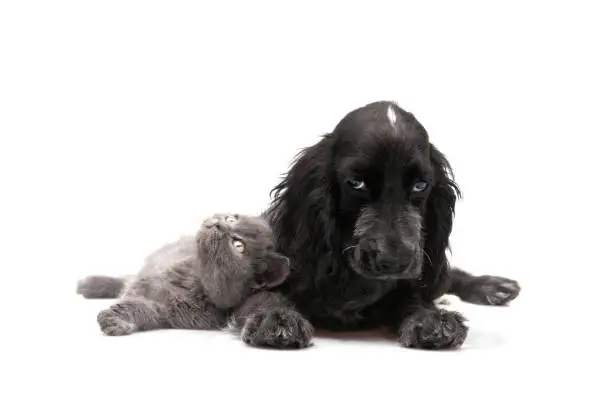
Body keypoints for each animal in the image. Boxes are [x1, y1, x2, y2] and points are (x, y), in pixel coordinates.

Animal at [76, 214, 292, 334]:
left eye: (238, 245)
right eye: (231, 219)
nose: (219, 223)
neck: (194, 277)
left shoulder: (164, 310)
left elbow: (137, 308)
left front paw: (114, 321)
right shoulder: (149, 283)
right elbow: (129, 295)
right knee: (125, 279)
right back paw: (88, 285)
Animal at [232, 100, 520, 350]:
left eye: (420, 185)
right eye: (356, 183)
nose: (394, 261)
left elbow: (413, 297)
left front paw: (430, 318)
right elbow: (265, 296)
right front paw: (276, 317)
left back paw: (493, 286)